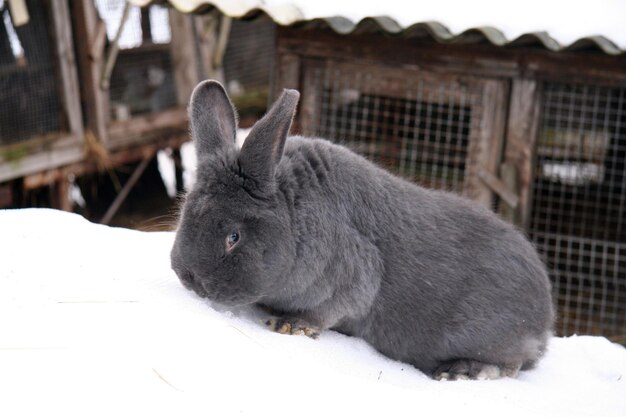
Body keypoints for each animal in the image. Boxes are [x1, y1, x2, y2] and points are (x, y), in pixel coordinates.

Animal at [169, 79, 552, 380]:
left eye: (233, 237)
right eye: (184, 215)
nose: (190, 278)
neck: (295, 216)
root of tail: (544, 318)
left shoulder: (354, 279)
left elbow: (326, 312)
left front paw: (289, 325)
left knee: (511, 364)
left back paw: (461, 371)